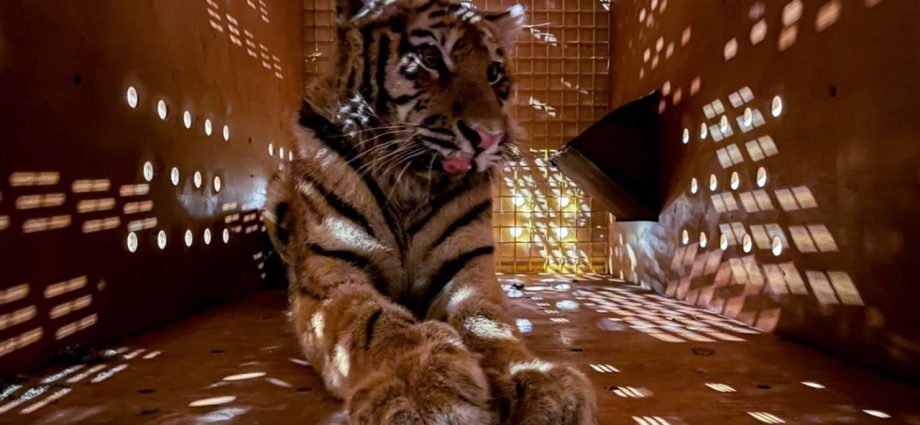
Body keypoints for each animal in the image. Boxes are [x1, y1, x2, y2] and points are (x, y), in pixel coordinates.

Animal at [265, 0, 597, 423]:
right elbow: (374, 320)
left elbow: (488, 322)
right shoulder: (331, 276)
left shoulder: (468, 271)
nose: (489, 136)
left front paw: (537, 383)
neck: (410, 178)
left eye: (494, 73)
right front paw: (423, 389)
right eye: (430, 58)